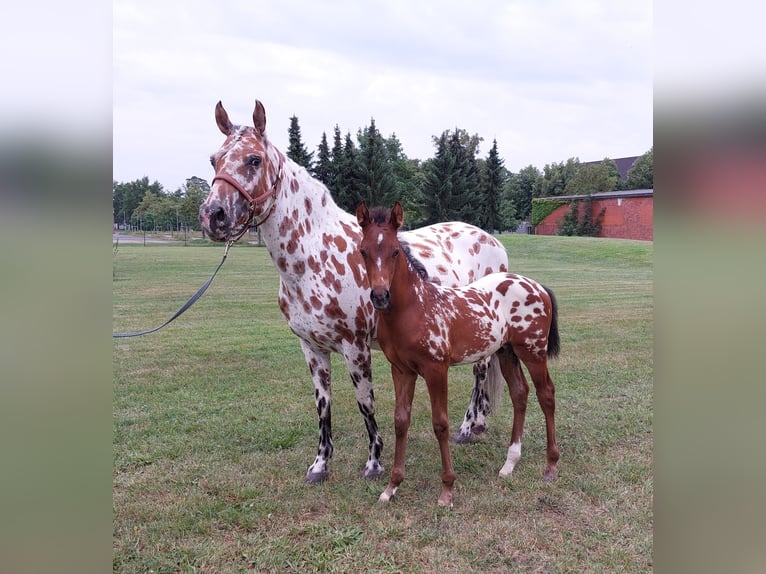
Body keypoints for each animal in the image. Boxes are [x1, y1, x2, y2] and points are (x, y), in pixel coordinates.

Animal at [198, 100, 510, 486]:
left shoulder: (355, 347)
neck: (315, 255)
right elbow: (323, 407)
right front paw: (320, 465)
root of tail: (492, 241)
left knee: (480, 372)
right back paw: (478, 424)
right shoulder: (312, 348)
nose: (213, 215)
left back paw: (468, 428)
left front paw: (374, 463)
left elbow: (366, 403)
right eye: (214, 159)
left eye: (254, 160)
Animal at [356, 204, 560, 508]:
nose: (380, 296)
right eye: (363, 251)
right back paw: (509, 464)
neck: (416, 308)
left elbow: (440, 424)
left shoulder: (436, 370)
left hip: (533, 351)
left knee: (546, 394)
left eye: (394, 251)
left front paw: (447, 490)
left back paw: (551, 466)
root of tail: (536, 286)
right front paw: (392, 487)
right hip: (506, 352)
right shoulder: (401, 371)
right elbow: (401, 422)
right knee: (520, 393)